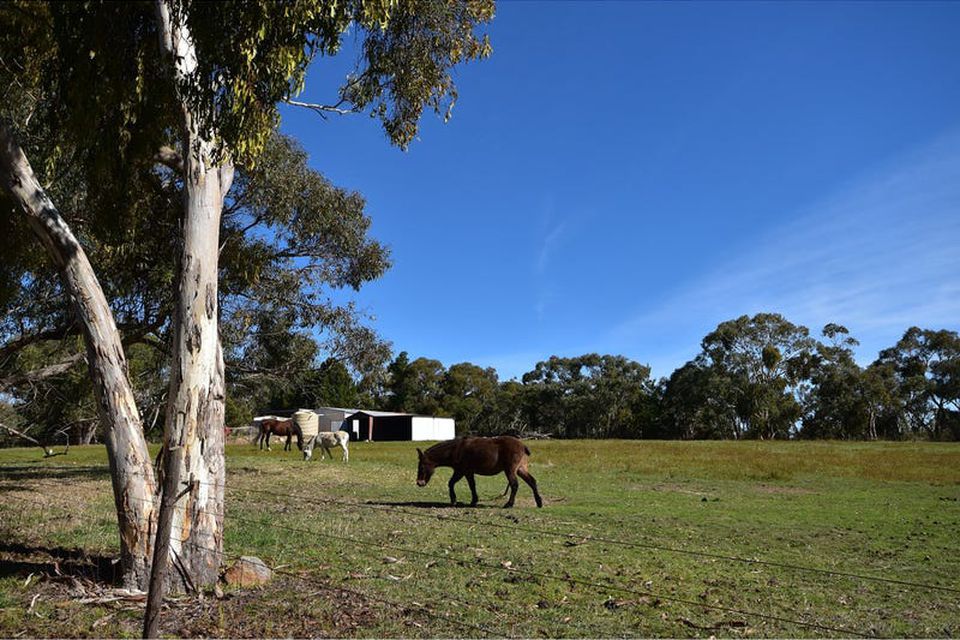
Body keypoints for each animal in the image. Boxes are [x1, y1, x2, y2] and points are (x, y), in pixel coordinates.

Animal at [416, 436, 544, 510]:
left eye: (421, 467)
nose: (419, 483)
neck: (455, 450)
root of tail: (523, 445)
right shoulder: (463, 471)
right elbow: (460, 484)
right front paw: (467, 501)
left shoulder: (463, 471)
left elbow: (462, 485)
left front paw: (458, 500)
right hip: (521, 469)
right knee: (532, 482)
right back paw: (539, 502)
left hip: (510, 470)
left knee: (514, 485)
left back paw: (509, 504)